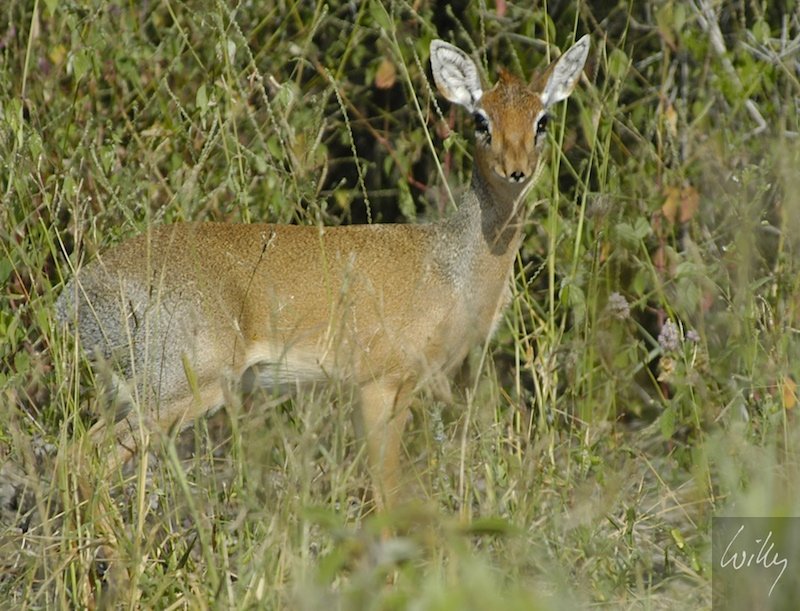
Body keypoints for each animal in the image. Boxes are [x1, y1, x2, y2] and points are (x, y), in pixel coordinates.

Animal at [56, 35, 590, 511]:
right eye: (482, 120)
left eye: (541, 120)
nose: (516, 169)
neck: (451, 267)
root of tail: (75, 297)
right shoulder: (381, 383)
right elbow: (387, 491)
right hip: (179, 386)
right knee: (82, 458)